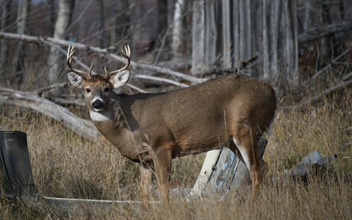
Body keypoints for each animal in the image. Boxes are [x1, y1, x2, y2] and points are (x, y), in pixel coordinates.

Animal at [64, 44, 276, 205]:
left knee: (256, 169)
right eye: (87, 89)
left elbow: (164, 188)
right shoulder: (144, 158)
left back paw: (253, 205)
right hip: (232, 141)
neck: (128, 127)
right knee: (262, 166)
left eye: (107, 88)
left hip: (247, 128)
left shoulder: (162, 146)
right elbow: (144, 191)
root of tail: (272, 91)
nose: (97, 103)